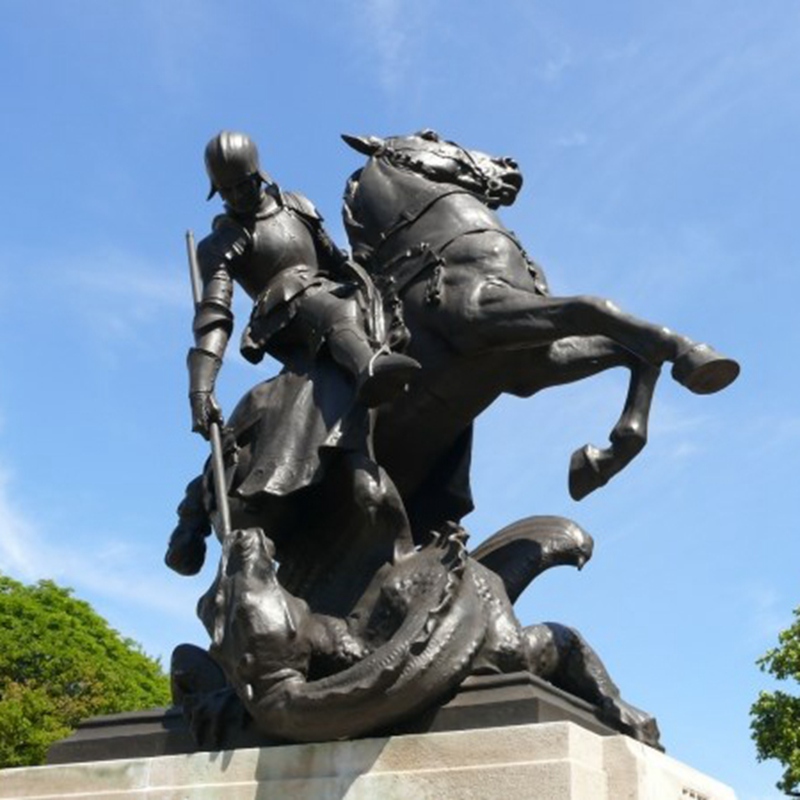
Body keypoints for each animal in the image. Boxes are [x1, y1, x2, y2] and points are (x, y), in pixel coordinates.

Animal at [340, 130, 740, 532]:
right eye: (430, 135)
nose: (509, 164)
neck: (434, 244)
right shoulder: (478, 317)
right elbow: (591, 306)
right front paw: (694, 356)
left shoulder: (531, 363)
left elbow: (628, 350)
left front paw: (598, 459)